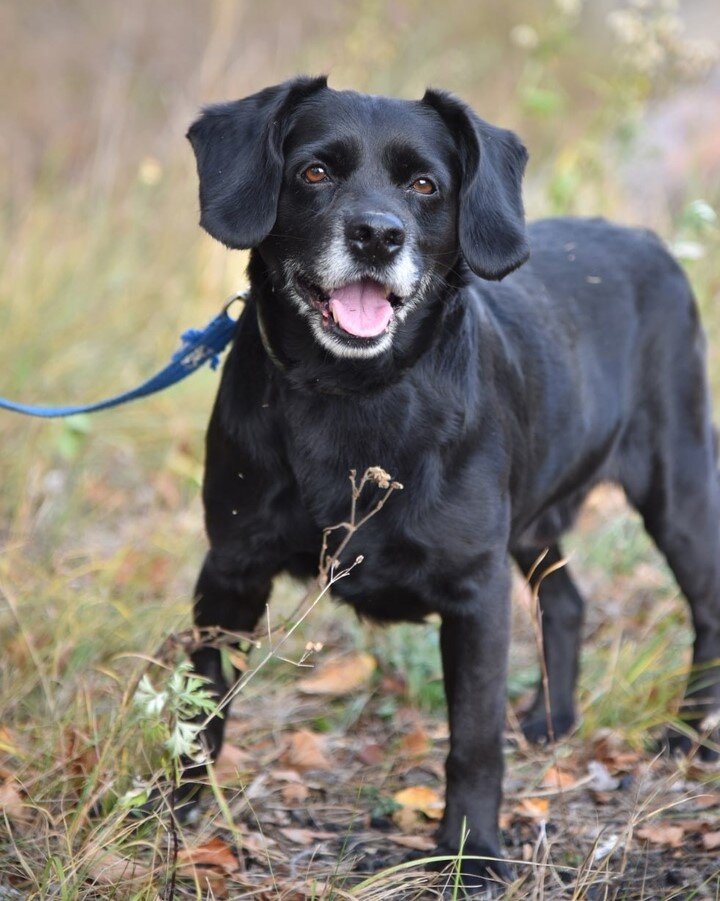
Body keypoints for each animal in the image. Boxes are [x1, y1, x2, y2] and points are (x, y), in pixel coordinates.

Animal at [186, 75, 720, 884]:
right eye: (314, 171)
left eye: (424, 185)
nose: (377, 236)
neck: (354, 392)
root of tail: (649, 240)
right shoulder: (230, 572)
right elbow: (200, 707)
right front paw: (173, 809)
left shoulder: (476, 591)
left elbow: (472, 739)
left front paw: (473, 855)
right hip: (532, 519)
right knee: (567, 600)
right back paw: (553, 721)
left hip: (677, 489)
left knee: (707, 609)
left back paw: (693, 734)